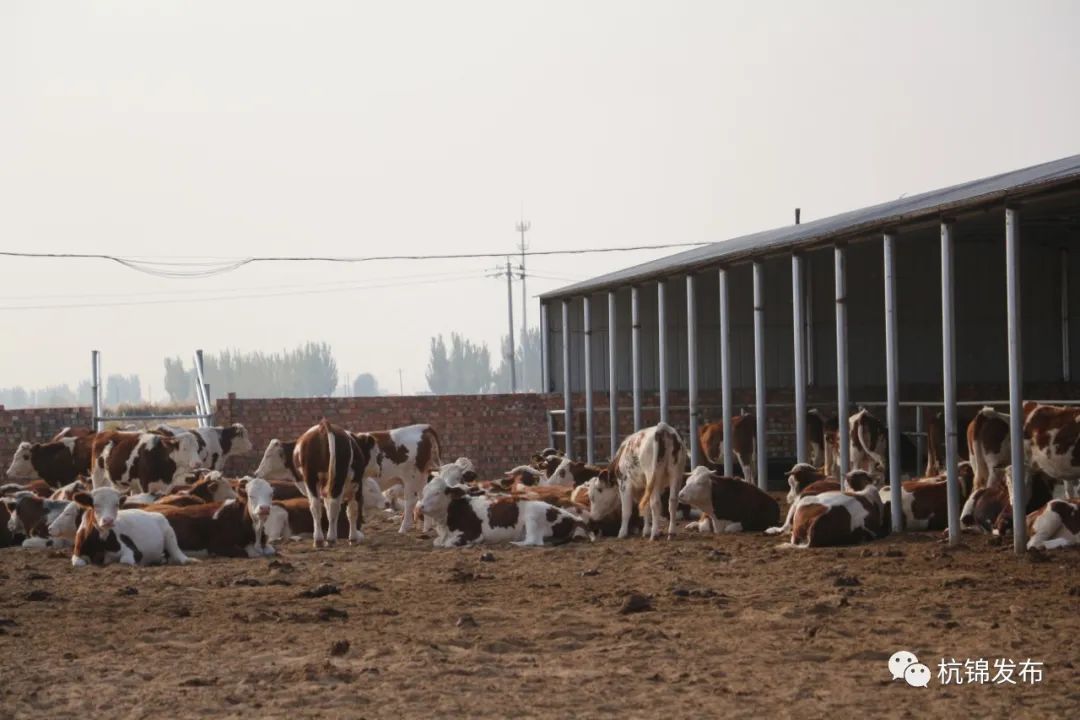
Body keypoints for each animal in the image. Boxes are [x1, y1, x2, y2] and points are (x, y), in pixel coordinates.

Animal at [414, 472, 587, 546]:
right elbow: (437, 542)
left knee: (534, 541)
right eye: (424, 491)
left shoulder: (473, 534)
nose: (421, 507)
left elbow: (448, 544)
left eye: (437, 492)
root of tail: (573, 518)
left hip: (532, 515)